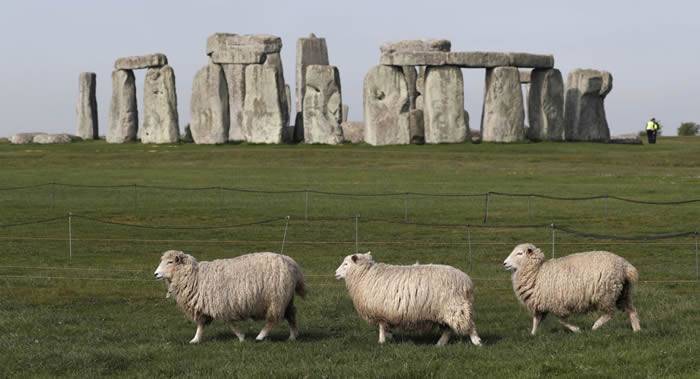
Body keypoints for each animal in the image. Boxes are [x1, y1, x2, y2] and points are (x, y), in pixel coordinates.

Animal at [153, 251, 306, 346]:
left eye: (170, 262)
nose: (155, 274)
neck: (195, 277)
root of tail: (291, 263)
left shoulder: (222, 304)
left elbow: (230, 323)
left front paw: (241, 337)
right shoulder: (204, 306)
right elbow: (201, 325)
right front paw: (195, 340)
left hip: (276, 299)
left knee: (272, 320)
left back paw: (260, 336)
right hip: (286, 298)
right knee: (291, 314)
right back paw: (292, 337)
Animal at [334, 252, 482, 348]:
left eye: (346, 264)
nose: (335, 273)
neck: (365, 275)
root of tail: (466, 281)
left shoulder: (380, 310)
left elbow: (381, 327)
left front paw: (381, 342)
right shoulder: (387, 313)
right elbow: (386, 327)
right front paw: (389, 337)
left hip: (456, 307)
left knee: (469, 325)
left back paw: (477, 342)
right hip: (443, 311)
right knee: (448, 330)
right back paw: (439, 344)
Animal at [504, 243, 640, 336]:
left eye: (519, 253)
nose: (504, 263)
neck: (537, 273)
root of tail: (624, 265)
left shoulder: (556, 304)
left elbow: (562, 320)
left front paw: (576, 329)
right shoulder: (541, 304)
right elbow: (536, 321)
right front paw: (532, 335)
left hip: (606, 294)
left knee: (610, 313)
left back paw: (595, 326)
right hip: (623, 293)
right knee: (631, 310)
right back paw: (637, 330)